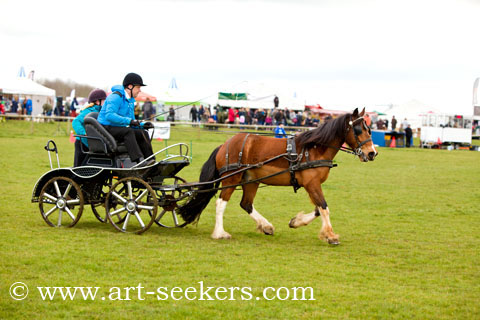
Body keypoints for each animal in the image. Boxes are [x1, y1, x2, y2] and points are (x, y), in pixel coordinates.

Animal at [178, 107, 376, 242]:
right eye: (359, 129)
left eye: (369, 129)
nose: (372, 153)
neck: (314, 149)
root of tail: (224, 145)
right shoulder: (312, 184)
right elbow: (324, 208)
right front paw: (330, 235)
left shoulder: (312, 185)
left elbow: (318, 209)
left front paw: (296, 221)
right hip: (232, 178)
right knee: (221, 203)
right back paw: (220, 233)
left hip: (251, 180)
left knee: (246, 204)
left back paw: (266, 226)